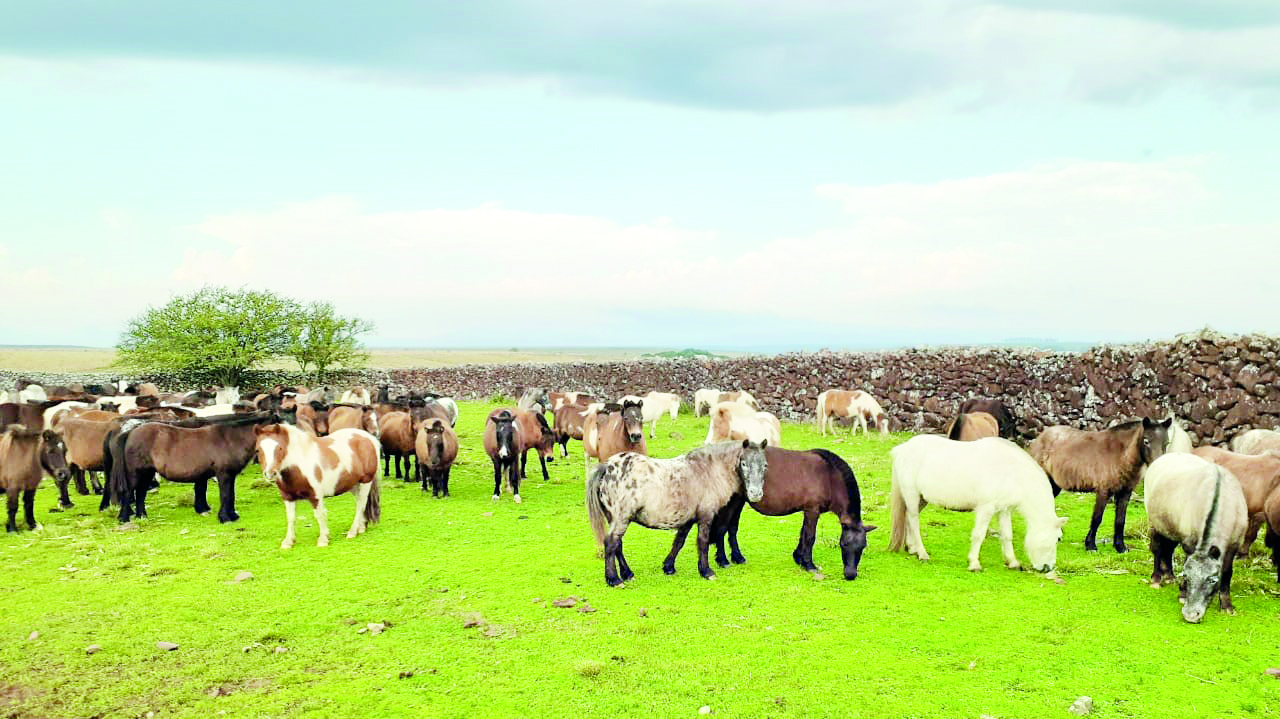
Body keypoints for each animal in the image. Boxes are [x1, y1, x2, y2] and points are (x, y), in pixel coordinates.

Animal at [109, 409, 285, 519]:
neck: (229, 438)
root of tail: (130, 432)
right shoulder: (223, 474)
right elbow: (225, 494)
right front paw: (225, 517)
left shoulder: (229, 475)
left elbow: (230, 494)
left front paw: (232, 515)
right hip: (136, 473)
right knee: (129, 492)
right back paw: (125, 518)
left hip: (147, 473)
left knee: (140, 493)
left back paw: (142, 516)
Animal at [885, 429, 1064, 570]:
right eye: (1056, 539)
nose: (1048, 567)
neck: (1010, 471)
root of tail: (902, 449)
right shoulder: (986, 509)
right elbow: (979, 535)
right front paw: (974, 563)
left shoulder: (1003, 510)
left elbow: (1007, 535)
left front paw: (1012, 562)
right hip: (912, 495)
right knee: (913, 520)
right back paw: (922, 553)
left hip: (921, 499)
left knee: (908, 518)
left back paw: (912, 548)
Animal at [1029, 414, 1172, 547]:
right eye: (1146, 441)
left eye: (1166, 443)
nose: (1159, 467)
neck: (1120, 455)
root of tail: (1039, 439)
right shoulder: (1104, 491)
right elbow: (1097, 518)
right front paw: (1090, 545)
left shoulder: (1125, 493)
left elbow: (1120, 520)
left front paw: (1120, 547)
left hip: (1054, 485)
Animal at [1141, 450, 1249, 619]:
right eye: (1186, 577)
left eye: (1212, 579)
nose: (1191, 615)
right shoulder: (1189, 543)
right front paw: (1183, 594)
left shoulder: (1233, 546)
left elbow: (1227, 572)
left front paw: (1226, 604)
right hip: (1155, 524)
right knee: (1157, 549)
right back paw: (1157, 579)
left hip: (1171, 528)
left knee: (1168, 549)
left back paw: (1169, 576)